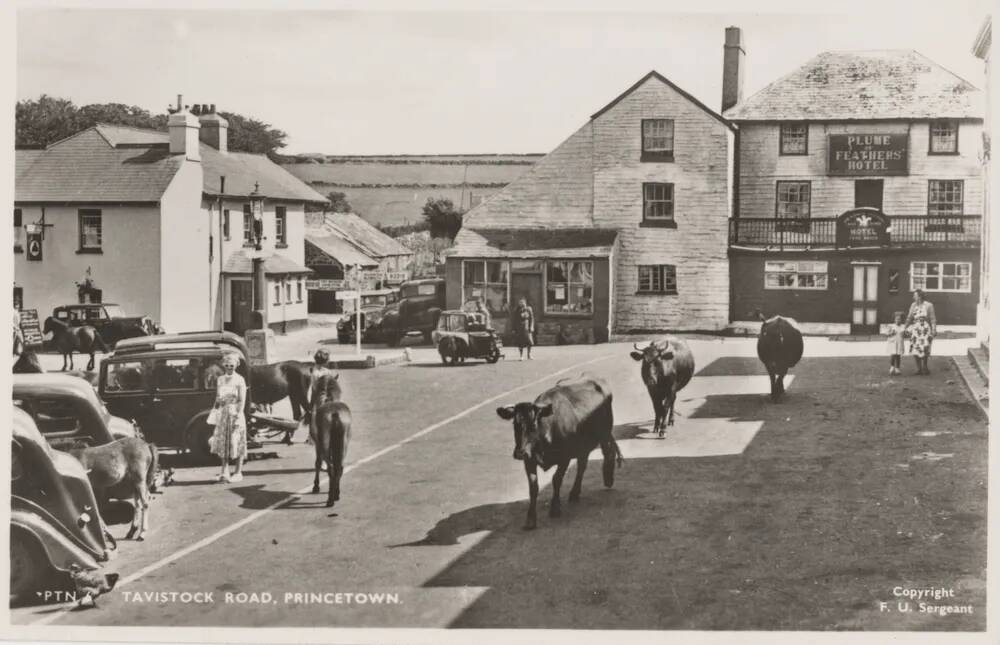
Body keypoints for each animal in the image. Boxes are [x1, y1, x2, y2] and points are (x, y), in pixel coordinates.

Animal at [308, 372, 352, 508]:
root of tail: (335, 414)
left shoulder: (318, 445)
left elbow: (317, 463)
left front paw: (316, 486)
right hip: (343, 444)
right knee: (339, 467)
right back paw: (336, 494)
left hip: (324, 445)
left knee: (331, 468)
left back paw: (330, 500)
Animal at [496, 374, 620, 532]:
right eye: (515, 424)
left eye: (534, 424)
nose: (519, 453)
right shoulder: (529, 460)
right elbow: (533, 487)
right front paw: (530, 519)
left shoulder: (564, 458)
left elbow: (556, 479)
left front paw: (555, 508)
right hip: (583, 446)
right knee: (582, 466)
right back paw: (575, 493)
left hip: (604, 432)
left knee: (608, 452)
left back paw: (608, 479)